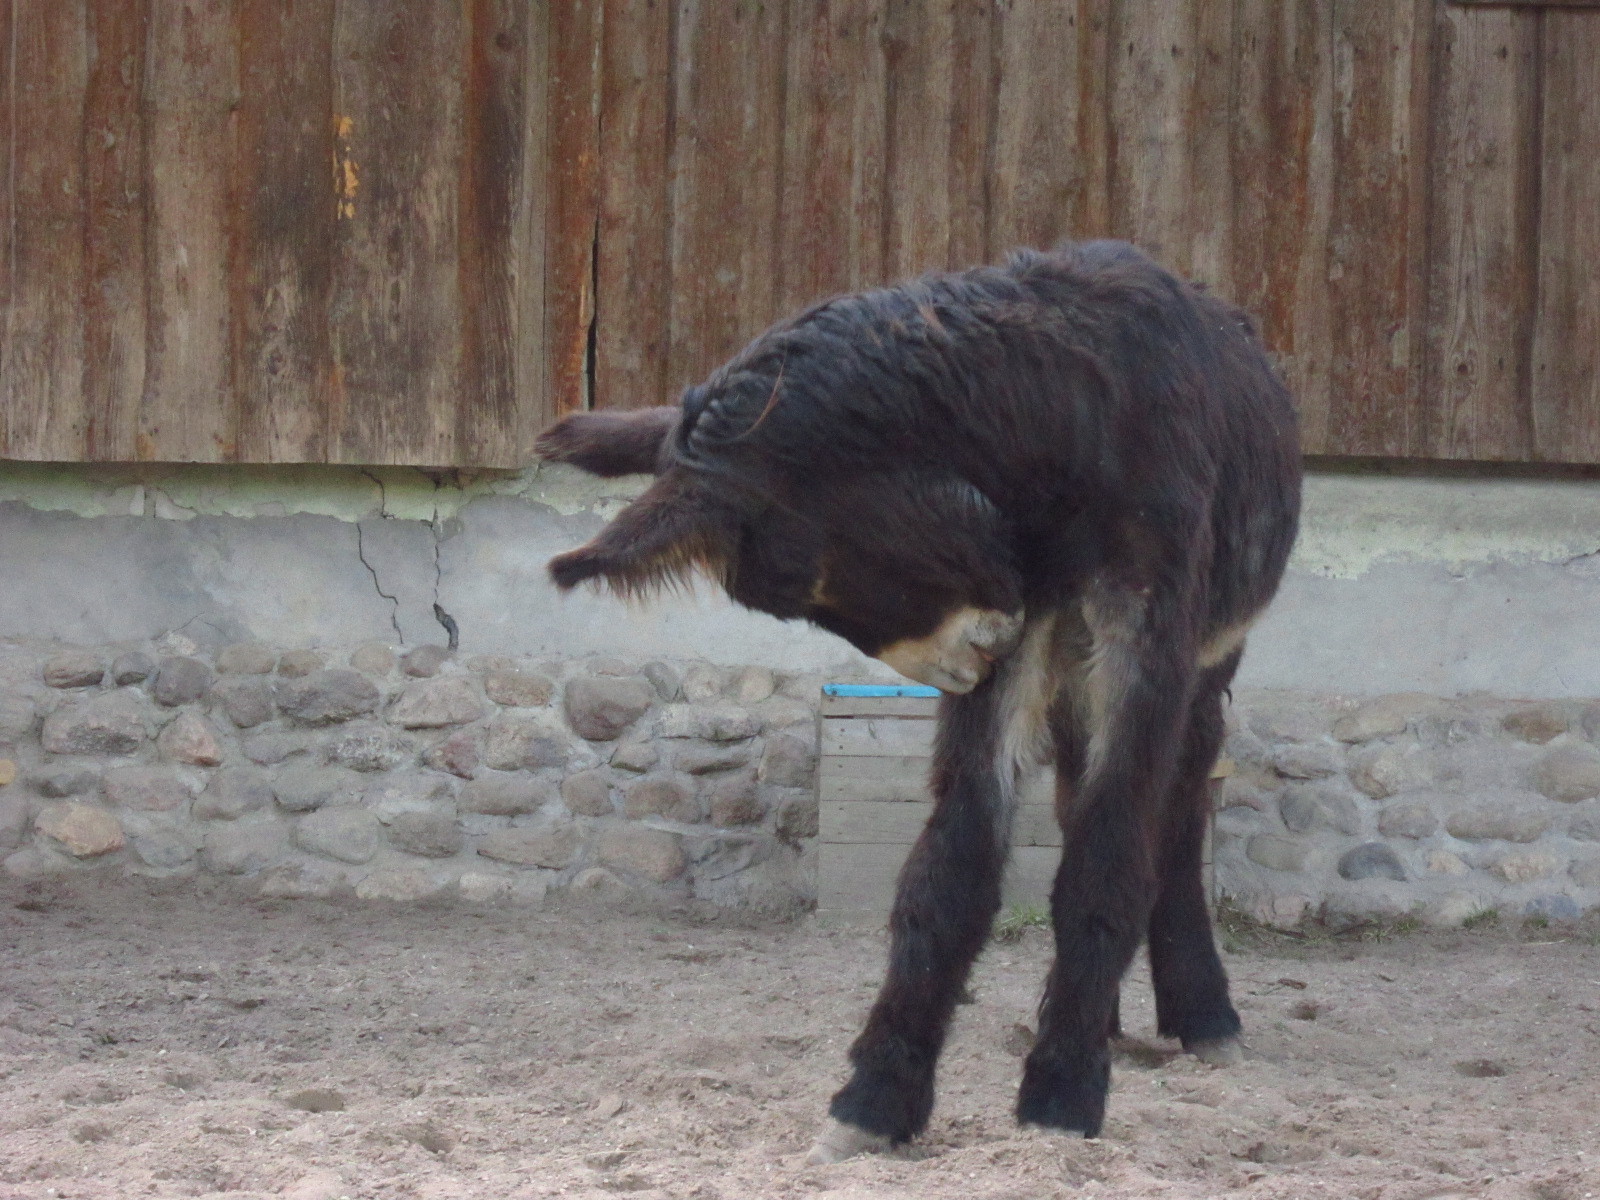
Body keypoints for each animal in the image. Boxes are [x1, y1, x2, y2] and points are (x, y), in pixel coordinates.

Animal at [536, 241, 1302, 1159]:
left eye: (801, 578)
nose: (968, 657)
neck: (1075, 425)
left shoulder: (1142, 640)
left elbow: (1109, 863)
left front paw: (1063, 1094)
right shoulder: (1026, 637)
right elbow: (951, 870)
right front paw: (878, 1097)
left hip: (1202, 668)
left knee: (1177, 820)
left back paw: (1200, 1014)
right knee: (1082, 798)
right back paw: (1108, 1019)